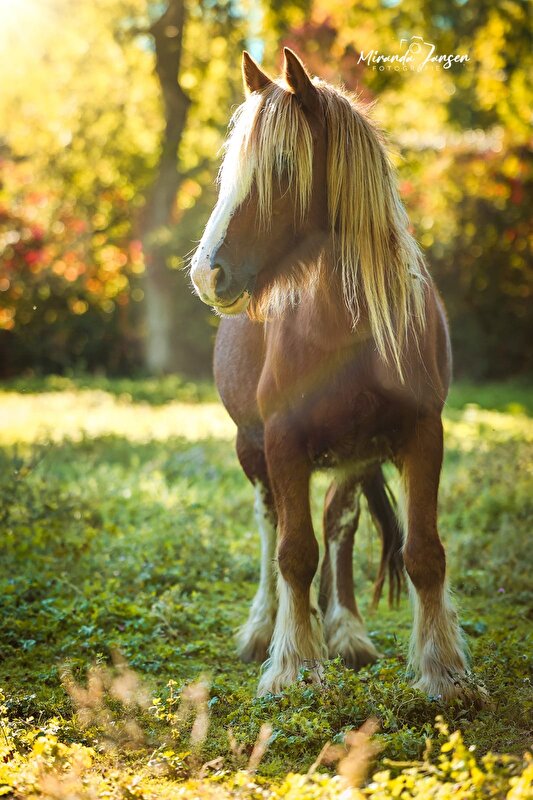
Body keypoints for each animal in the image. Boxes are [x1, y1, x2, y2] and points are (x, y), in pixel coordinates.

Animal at [190, 50, 478, 700]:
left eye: (282, 166)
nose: (207, 274)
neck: (349, 330)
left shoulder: (422, 433)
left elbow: (424, 553)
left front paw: (443, 670)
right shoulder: (282, 440)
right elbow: (294, 553)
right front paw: (292, 665)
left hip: (353, 454)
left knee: (339, 525)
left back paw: (345, 630)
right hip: (253, 450)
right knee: (272, 525)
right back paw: (264, 628)